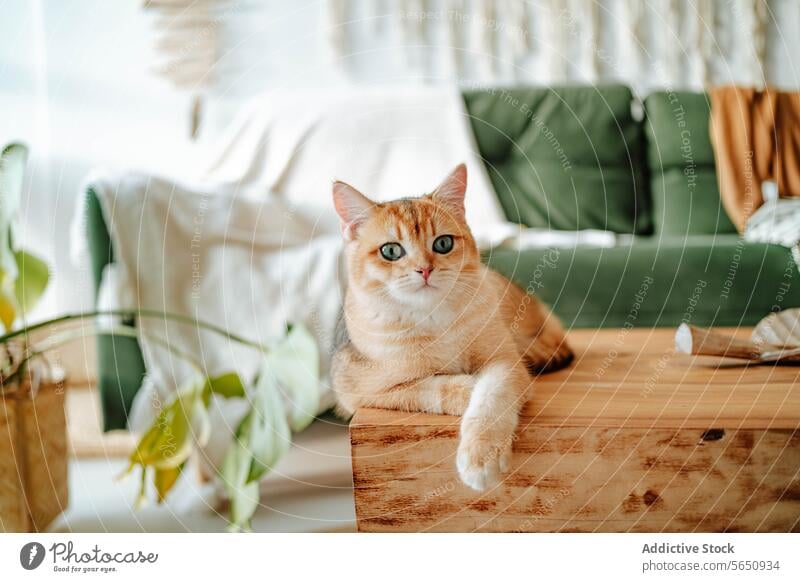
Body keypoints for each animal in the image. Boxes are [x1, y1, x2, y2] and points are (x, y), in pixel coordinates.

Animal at [332, 164, 576, 492]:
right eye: (391, 251)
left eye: (443, 243)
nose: (425, 269)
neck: (434, 318)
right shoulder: (358, 391)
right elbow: (432, 387)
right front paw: (468, 386)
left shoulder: (503, 360)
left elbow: (493, 395)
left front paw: (481, 456)